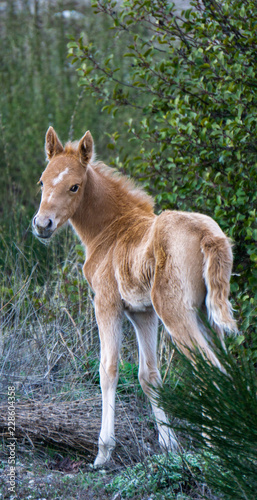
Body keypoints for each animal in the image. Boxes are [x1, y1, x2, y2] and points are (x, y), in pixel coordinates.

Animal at [32, 127, 236, 466]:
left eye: (75, 186)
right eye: (42, 181)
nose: (42, 225)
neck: (109, 231)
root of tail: (209, 236)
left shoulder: (107, 304)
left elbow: (108, 369)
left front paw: (103, 452)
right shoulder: (143, 313)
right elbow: (149, 375)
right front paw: (169, 445)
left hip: (176, 312)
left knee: (211, 370)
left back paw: (216, 449)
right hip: (207, 315)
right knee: (223, 367)